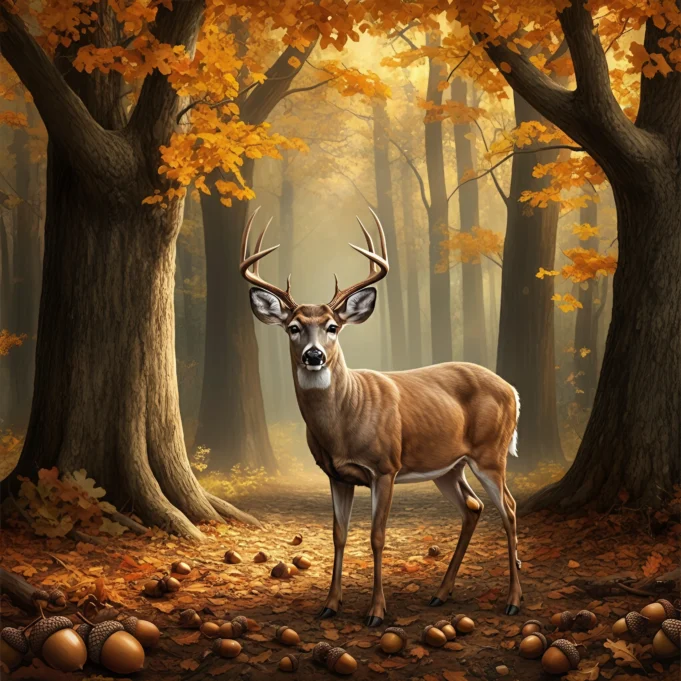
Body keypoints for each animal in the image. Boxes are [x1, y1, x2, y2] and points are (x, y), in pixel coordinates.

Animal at [241, 207, 522, 627]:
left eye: (332, 327)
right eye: (293, 327)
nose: (314, 355)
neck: (345, 421)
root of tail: (513, 391)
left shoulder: (385, 467)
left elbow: (376, 536)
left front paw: (376, 611)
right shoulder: (336, 475)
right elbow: (339, 534)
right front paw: (330, 604)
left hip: (490, 453)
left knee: (510, 509)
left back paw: (514, 600)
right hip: (448, 467)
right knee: (474, 508)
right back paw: (440, 594)